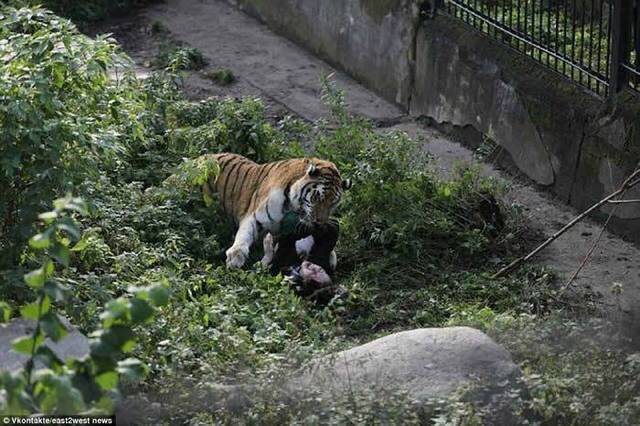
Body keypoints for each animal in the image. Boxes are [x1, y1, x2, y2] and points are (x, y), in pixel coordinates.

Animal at [202, 151, 352, 268]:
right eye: (317, 198)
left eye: (332, 203)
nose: (319, 223)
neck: (293, 208)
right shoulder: (254, 216)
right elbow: (244, 234)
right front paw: (235, 257)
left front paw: (330, 256)